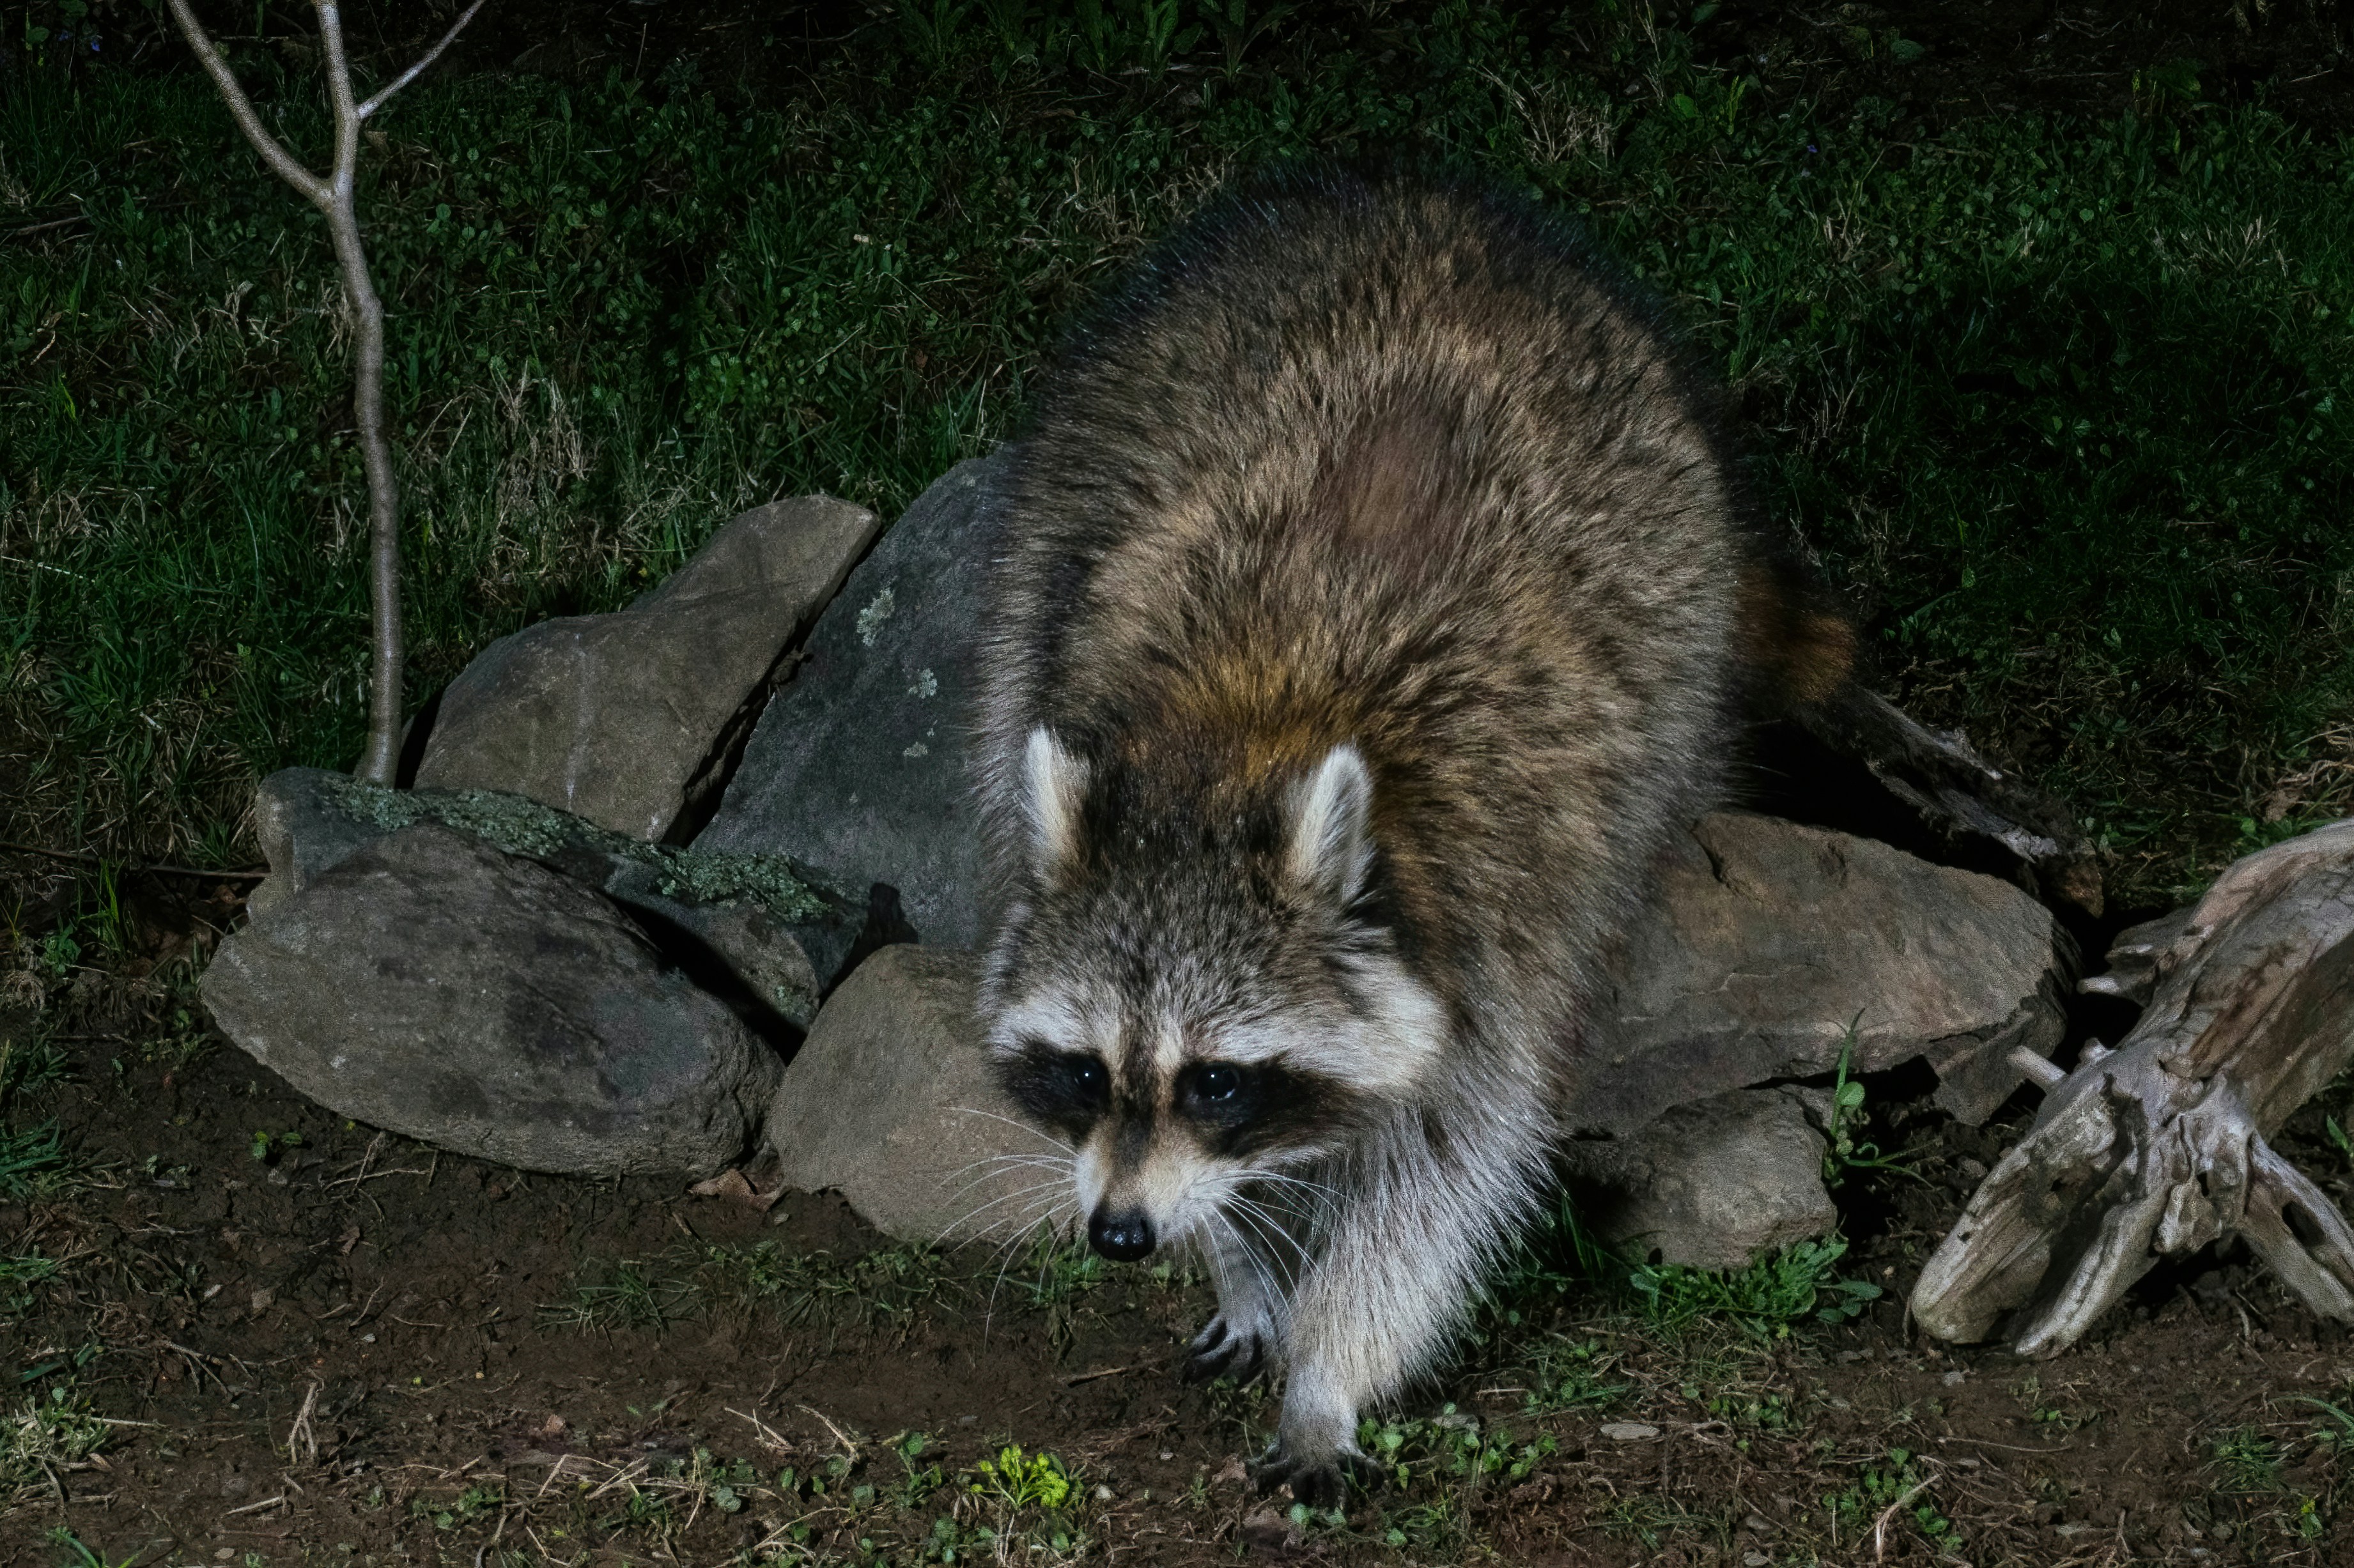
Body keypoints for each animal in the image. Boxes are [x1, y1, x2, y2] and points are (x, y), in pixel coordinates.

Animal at [970, 165, 1850, 1504]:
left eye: (1216, 1079)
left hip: (1681, 609)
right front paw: (1238, 1248)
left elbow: (1447, 1163)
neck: (1235, 735)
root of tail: (1420, 194)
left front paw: (1330, 1361)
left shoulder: (1499, 914)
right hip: (1063, 488)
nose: (1120, 1233)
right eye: (1081, 1070)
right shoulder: (1058, 670)